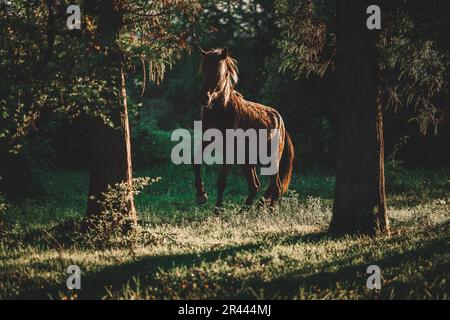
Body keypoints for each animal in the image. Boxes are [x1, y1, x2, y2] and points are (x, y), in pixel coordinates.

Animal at [193, 47, 296, 211]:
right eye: (203, 70)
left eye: (219, 73)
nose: (204, 98)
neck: (222, 111)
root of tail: (280, 121)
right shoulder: (206, 141)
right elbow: (195, 160)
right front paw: (201, 194)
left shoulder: (229, 152)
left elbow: (221, 180)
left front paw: (217, 209)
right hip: (247, 161)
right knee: (255, 186)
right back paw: (245, 211)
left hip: (271, 160)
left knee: (276, 186)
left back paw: (269, 211)